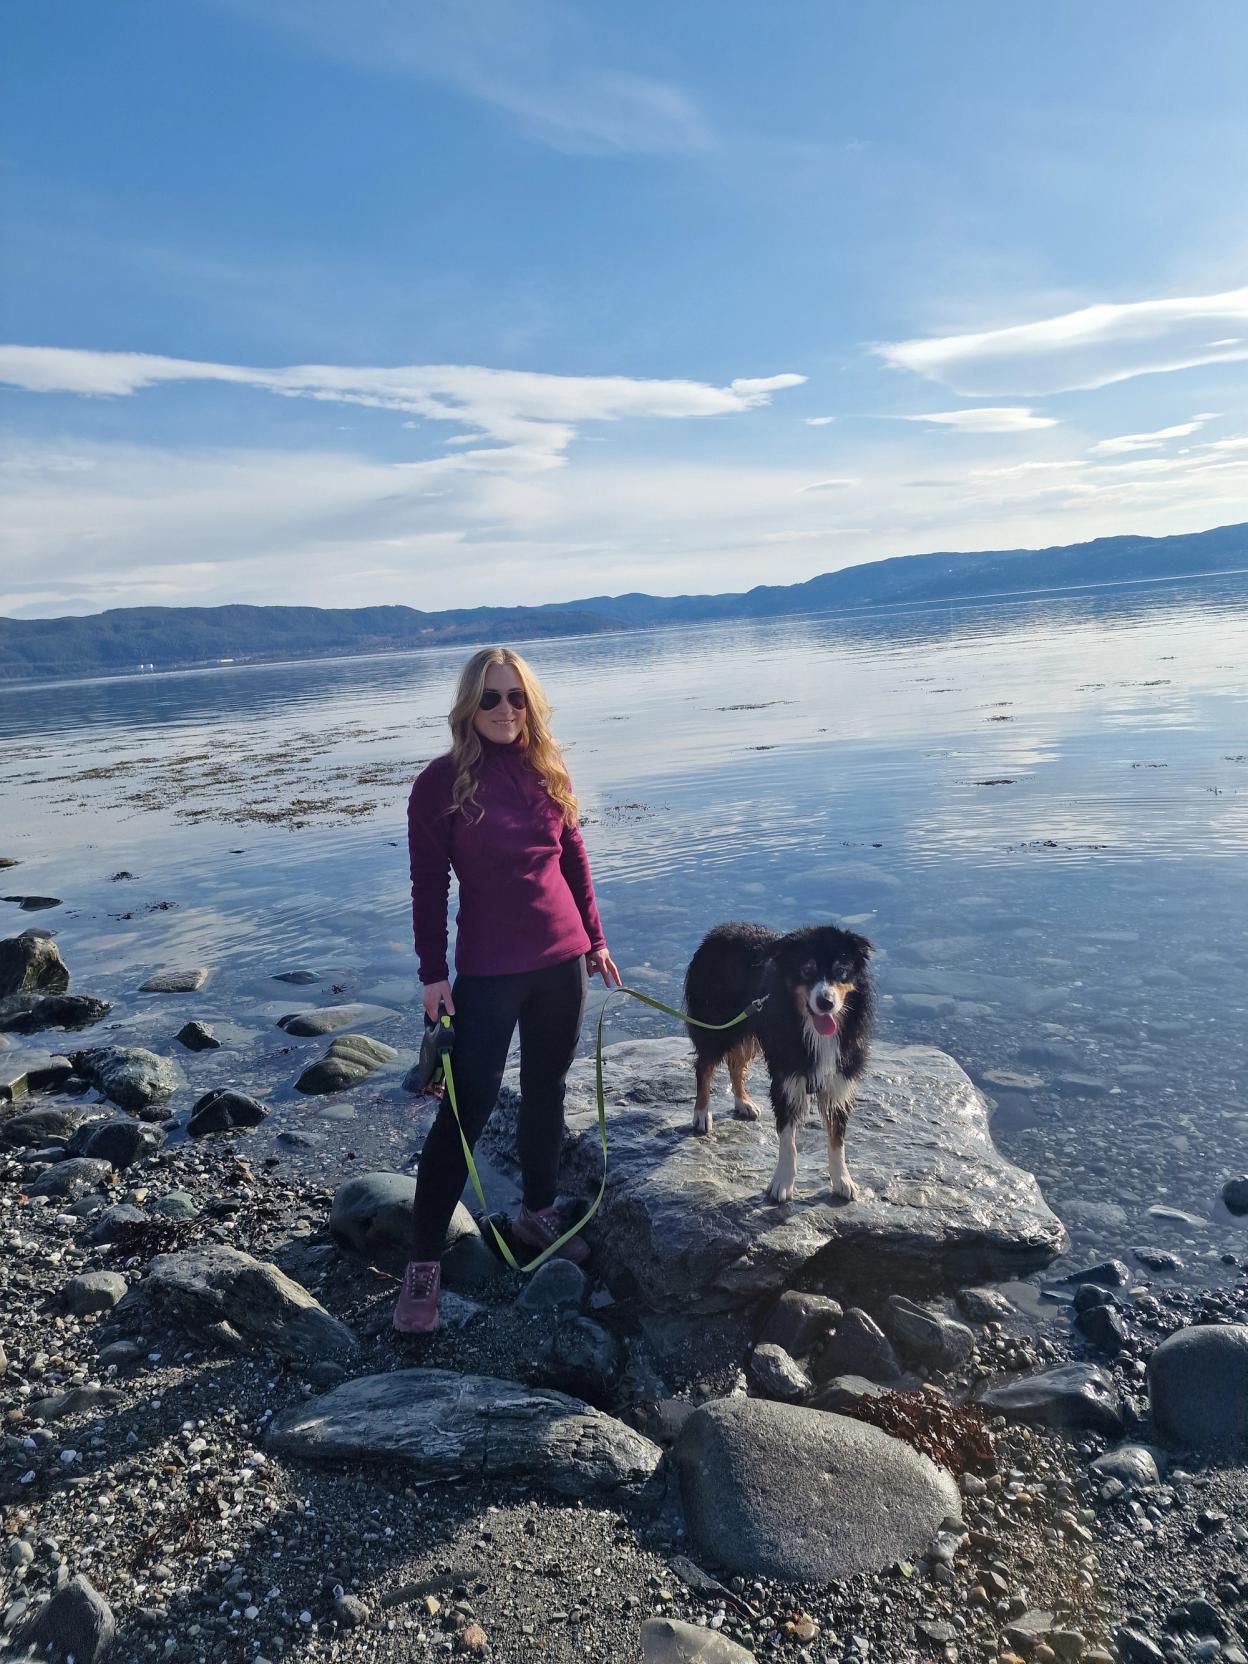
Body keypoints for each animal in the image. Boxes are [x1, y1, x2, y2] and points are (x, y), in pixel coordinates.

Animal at [685, 925, 878, 1211]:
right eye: (807, 970)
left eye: (841, 970)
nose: (826, 1002)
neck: (813, 1030)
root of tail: (717, 931)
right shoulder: (786, 1078)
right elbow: (788, 1140)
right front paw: (782, 1184)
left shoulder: (839, 1081)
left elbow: (837, 1140)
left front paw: (842, 1181)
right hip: (717, 1024)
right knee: (704, 1066)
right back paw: (701, 1113)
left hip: (748, 1026)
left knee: (735, 1065)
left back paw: (743, 1103)